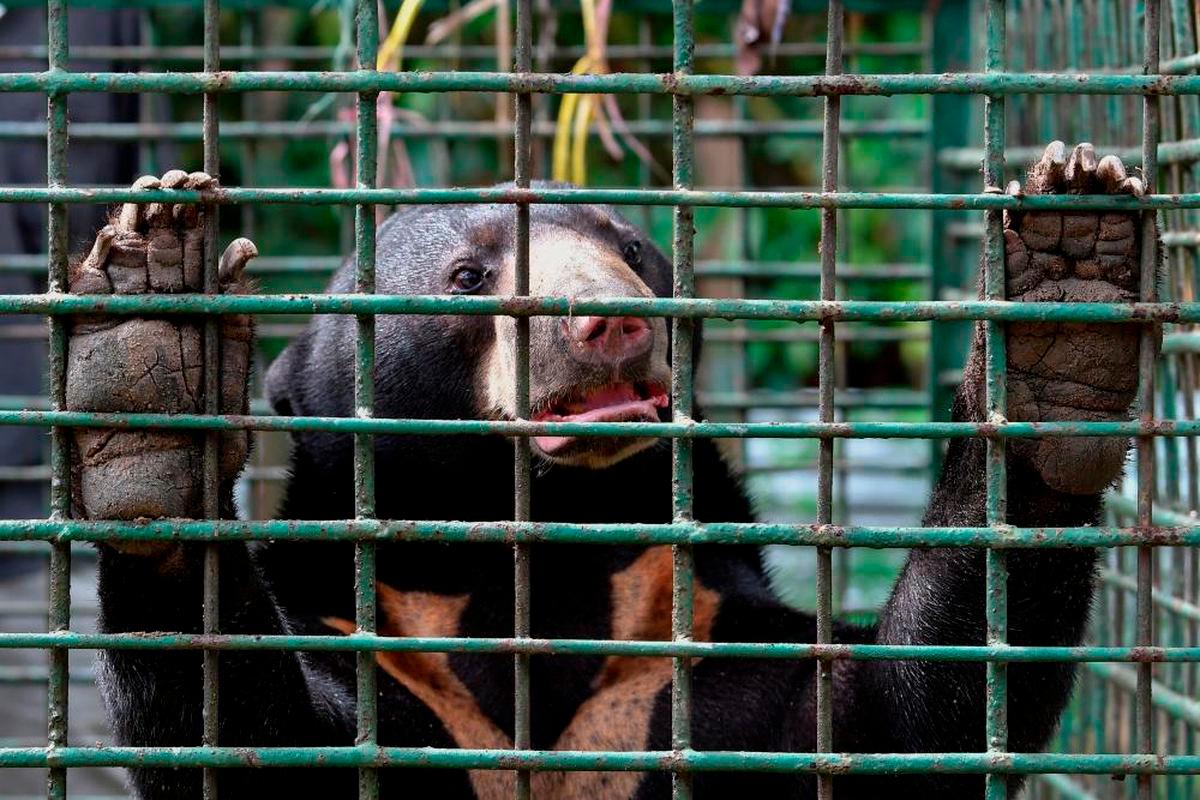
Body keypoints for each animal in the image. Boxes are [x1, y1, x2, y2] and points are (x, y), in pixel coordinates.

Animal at [65, 141, 1151, 799]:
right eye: (470, 276)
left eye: (632, 247)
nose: (611, 320)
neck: (544, 574)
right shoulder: (377, 656)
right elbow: (256, 742)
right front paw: (150, 359)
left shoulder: (696, 649)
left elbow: (901, 721)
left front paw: (1063, 301)